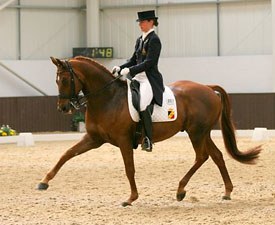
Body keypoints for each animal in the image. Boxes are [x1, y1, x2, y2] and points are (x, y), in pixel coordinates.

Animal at [37, 56, 262, 206]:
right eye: (57, 80)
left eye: (65, 80)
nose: (63, 108)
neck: (108, 99)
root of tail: (208, 88)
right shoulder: (94, 138)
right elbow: (67, 154)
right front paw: (44, 182)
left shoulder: (124, 140)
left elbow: (129, 168)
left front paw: (131, 198)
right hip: (202, 132)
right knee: (216, 156)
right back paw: (227, 192)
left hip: (196, 132)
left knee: (202, 156)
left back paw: (181, 190)